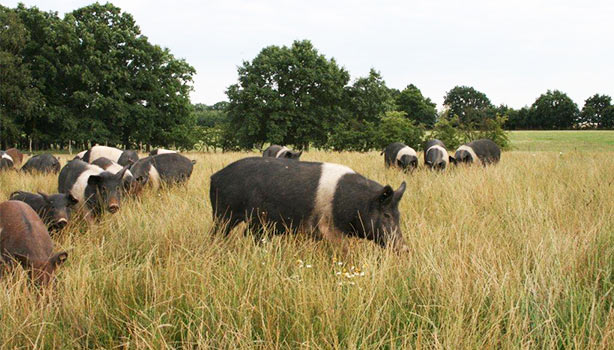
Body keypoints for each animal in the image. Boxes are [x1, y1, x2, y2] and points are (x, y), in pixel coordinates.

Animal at [211, 157, 410, 250]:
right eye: (386, 215)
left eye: (399, 215)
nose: (405, 249)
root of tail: (215, 176)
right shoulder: (329, 229)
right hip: (223, 214)